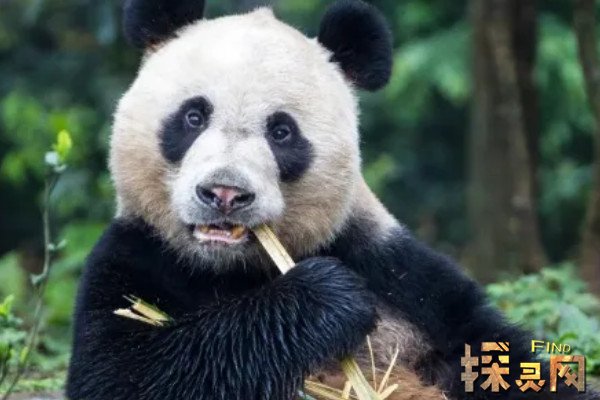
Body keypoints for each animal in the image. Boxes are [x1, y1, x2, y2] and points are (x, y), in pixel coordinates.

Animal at [66, 1, 597, 399]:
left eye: (281, 132)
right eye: (193, 117)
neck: (231, 269)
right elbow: (126, 377)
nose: (225, 192)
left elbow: (492, 355)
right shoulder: (135, 259)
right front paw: (326, 297)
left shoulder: (394, 268)